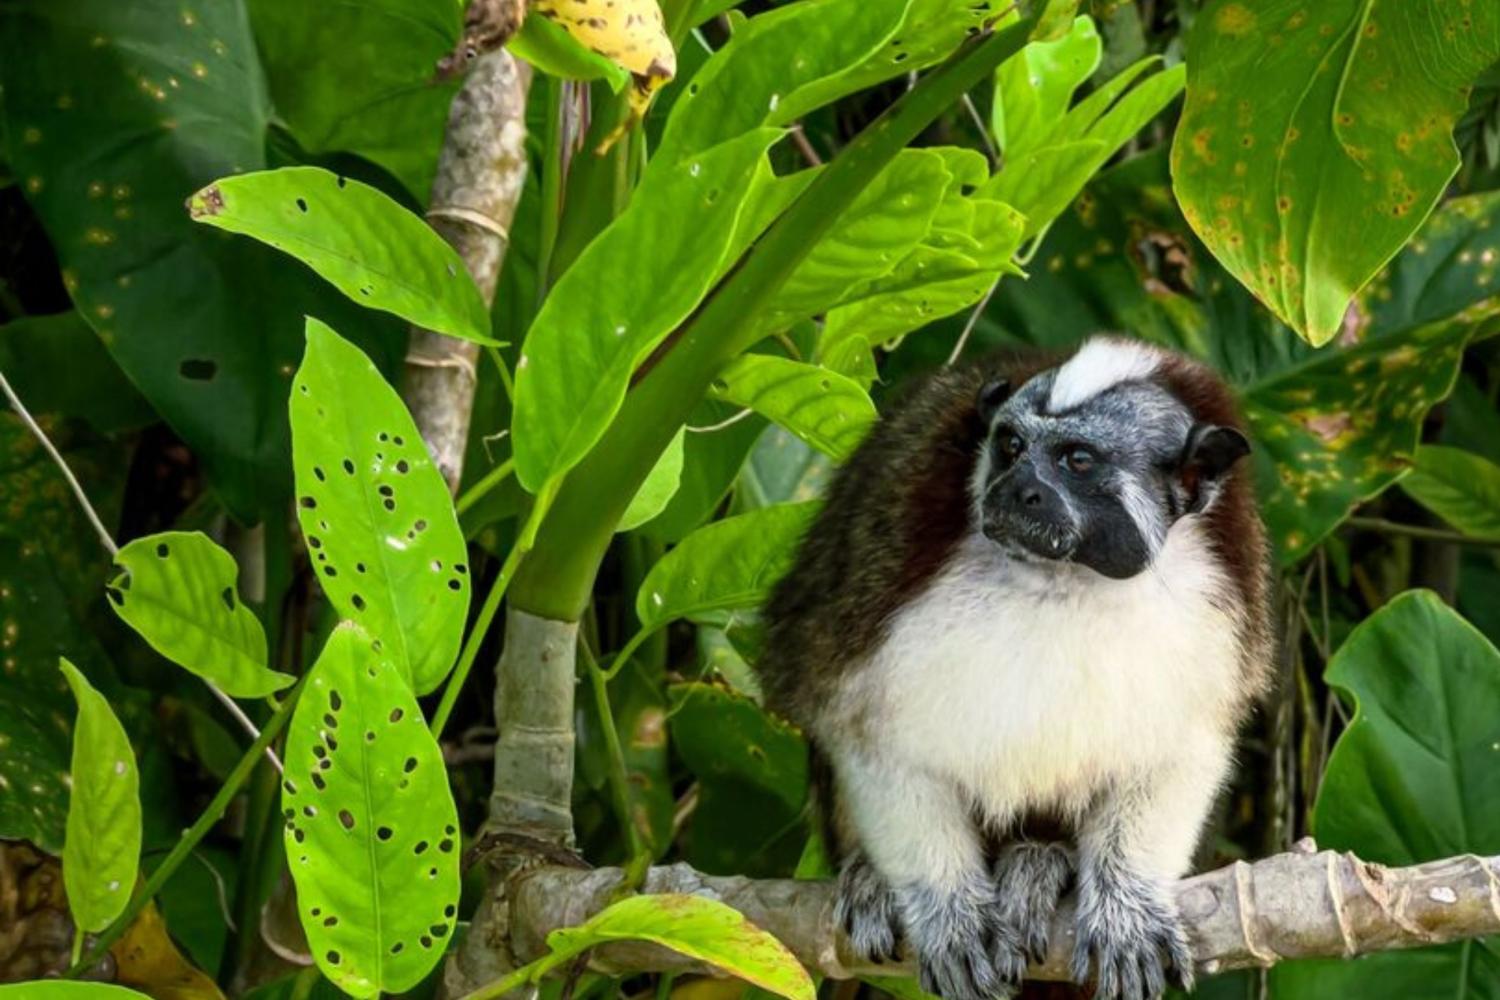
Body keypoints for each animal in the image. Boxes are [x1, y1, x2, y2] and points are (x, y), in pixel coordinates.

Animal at [754, 337, 1272, 1000]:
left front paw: (1126, 906)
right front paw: (948, 910)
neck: (1065, 577)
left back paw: (1040, 861)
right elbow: (869, 733)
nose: (1015, 489)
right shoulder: (884, 562)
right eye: (1011, 446)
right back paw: (875, 877)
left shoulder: (1223, 606)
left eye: (1077, 460)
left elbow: (1183, 751)